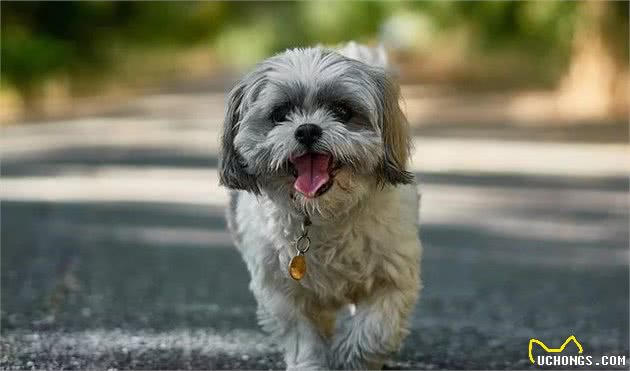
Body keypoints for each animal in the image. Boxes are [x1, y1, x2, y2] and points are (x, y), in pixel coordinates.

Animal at [220, 42, 422, 370]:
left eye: (342, 111)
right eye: (280, 114)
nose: (307, 129)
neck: (322, 215)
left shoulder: (391, 277)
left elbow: (375, 331)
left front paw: (351, 357)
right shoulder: (281, 292)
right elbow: (303, 338)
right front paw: (313, 361)